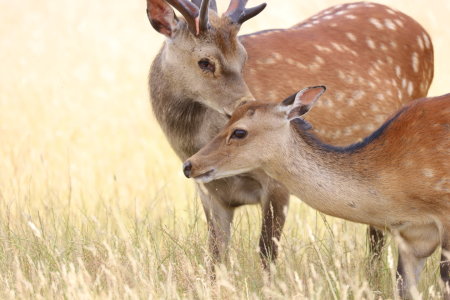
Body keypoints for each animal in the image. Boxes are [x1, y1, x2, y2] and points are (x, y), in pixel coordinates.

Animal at [146, 0, 434, 268]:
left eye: (243, 58)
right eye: (204, 62)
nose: (248, 104)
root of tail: (421, 30)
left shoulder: (278, 183)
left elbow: (266, 253)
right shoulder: (210, 193)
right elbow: (215, 258)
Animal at [184, 86, 450, 298]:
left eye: (239, 132)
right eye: (224, 122)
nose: (189, 165)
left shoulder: (445, 217)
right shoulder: (410, 239)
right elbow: (403, 288)